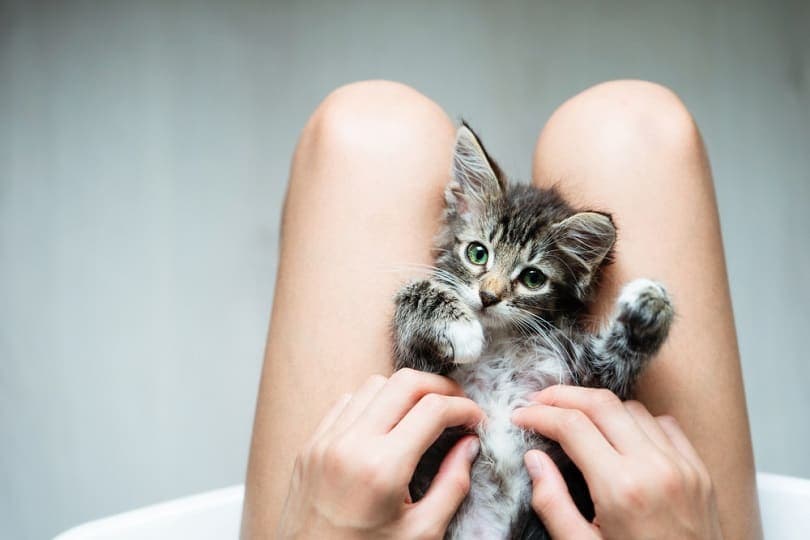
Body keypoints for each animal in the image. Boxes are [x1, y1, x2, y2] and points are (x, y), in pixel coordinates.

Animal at [392, 123, 676, 540]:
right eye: (477, 253)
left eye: (532, 278)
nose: (488, 296)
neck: (500, 340)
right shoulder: (417, 371)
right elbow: (413, 296)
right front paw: (462, 327)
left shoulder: (584, 380)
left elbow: (616, 363)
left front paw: (650, 307)